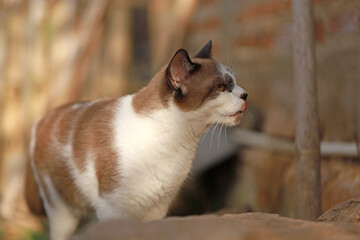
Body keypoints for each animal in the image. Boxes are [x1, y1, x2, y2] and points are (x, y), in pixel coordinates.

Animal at [25, 40, 248, 239]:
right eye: (220, 88)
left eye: (235, 83)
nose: (245, 95)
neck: (175, 140)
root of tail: (41, 118)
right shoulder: (113, 209)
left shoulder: (157, 207)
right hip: (62, 209)